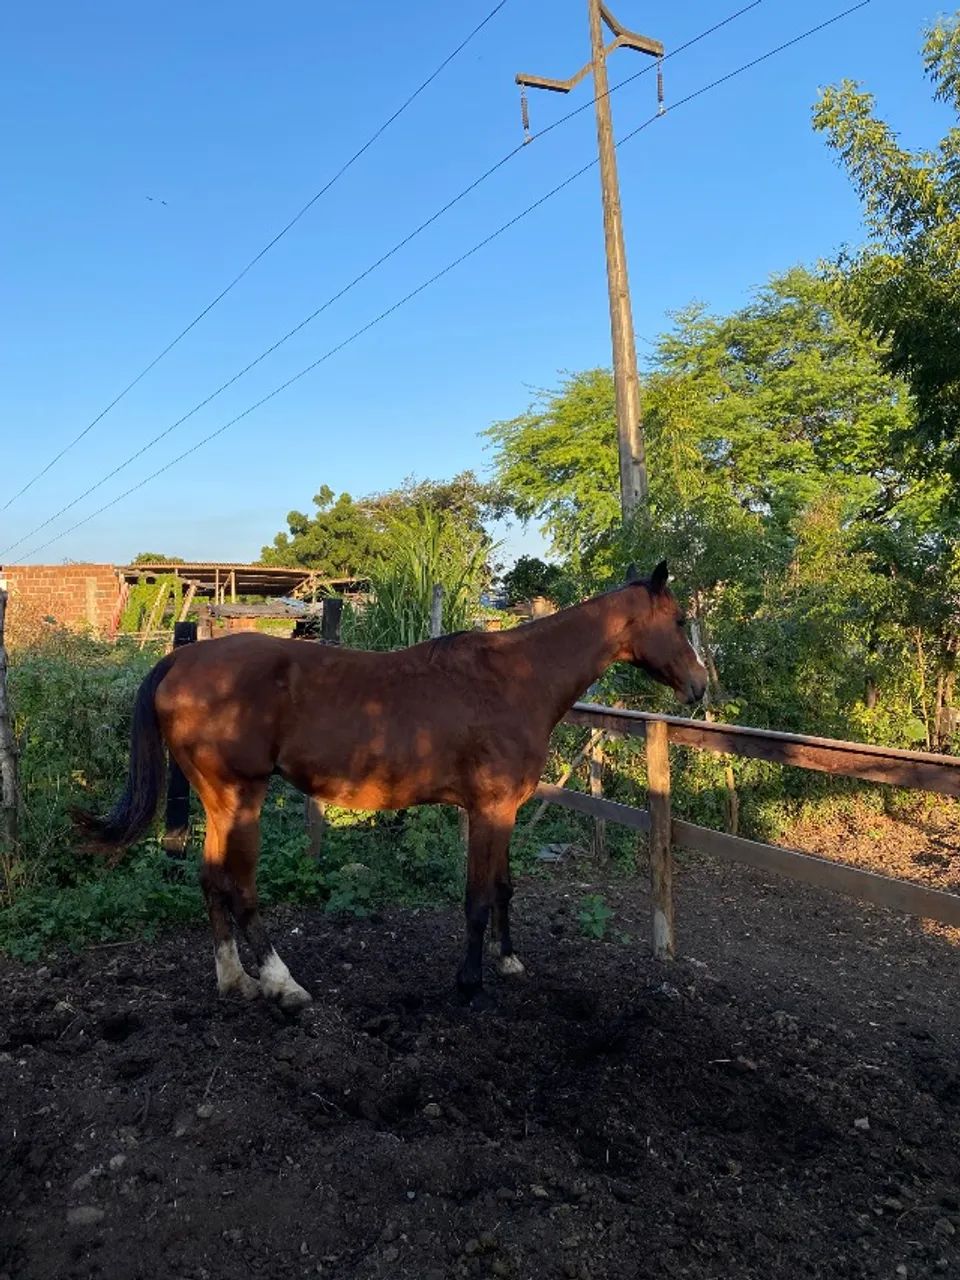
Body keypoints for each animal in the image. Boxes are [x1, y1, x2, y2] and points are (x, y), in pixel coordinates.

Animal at [75, 562, 707, 1007]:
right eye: (679, 622)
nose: (701, 686)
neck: (516, 679)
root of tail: (180, 662)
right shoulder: (490, 809)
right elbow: (478, 896)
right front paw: (470, 981)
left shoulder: (502, 811)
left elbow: (504, 888)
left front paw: (507, 962)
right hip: (241, 798)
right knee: (241, 888)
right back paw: (283, 984)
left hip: (219, 802)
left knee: (211, 881)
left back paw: (236, 981)